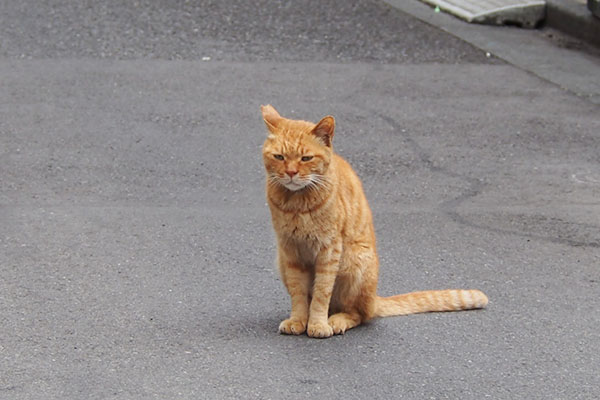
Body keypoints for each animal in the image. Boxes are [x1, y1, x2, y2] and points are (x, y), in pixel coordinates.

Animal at [262, 104, 488, 338]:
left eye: (306, 158)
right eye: (279, 157)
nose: (291, 172)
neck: (296, 202)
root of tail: (374, 300)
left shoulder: (329, 250)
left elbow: (321, 294)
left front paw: (317, 324)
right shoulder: (290, 251)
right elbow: (298, 294)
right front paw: (298, 320)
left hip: (354, 261)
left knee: (358, 314)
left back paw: (336, 320)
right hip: (282, 262)